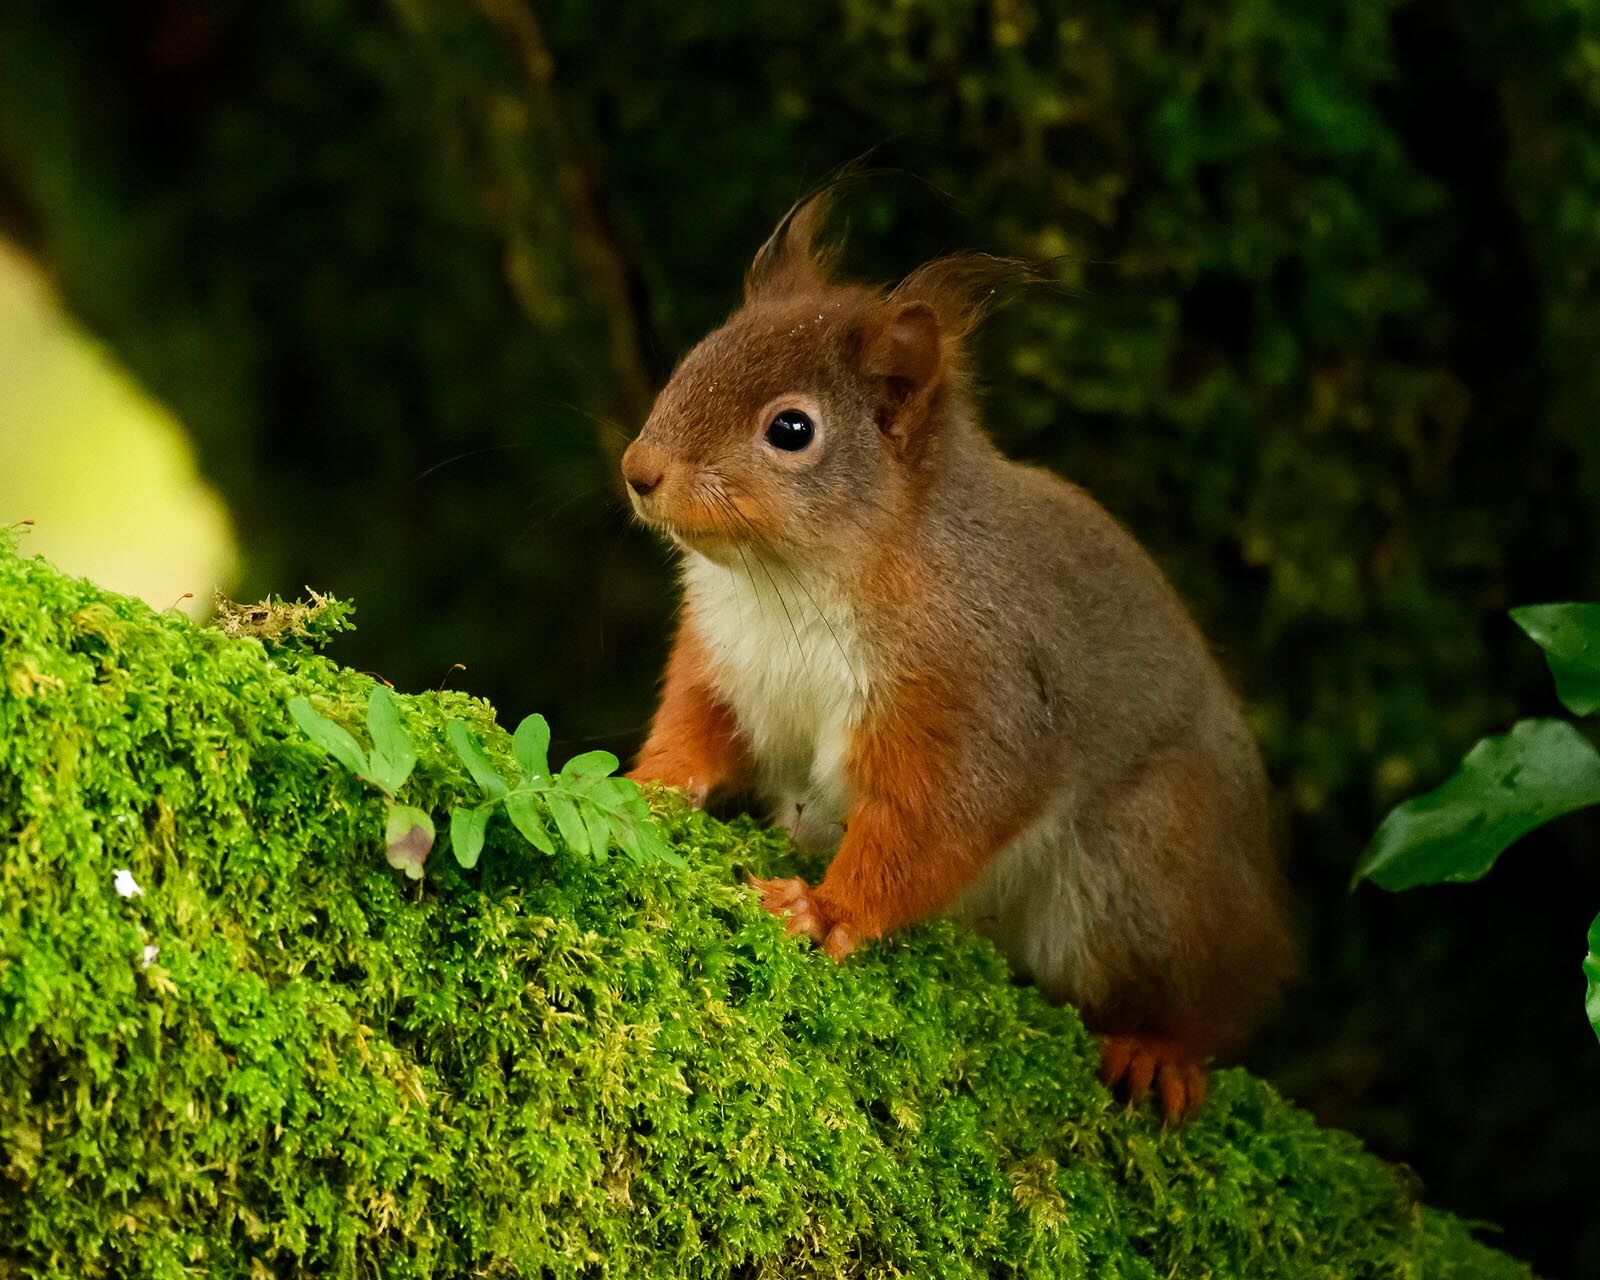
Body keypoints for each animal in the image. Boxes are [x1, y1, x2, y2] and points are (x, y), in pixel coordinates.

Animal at [620, 190, 1293, 1120]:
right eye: (693, 359)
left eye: (791, 429)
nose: (639, 468)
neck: (789, 582)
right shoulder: (725, 658)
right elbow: (696, 731)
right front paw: (643, 783)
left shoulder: (976, 690)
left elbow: (938, 820)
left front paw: (827, 909)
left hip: (1151, 866)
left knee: (1201, 1000)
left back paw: (1161, 1048)